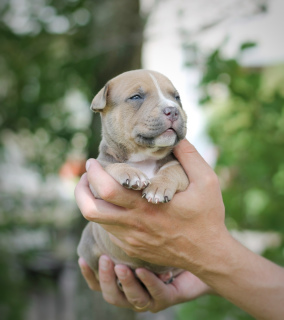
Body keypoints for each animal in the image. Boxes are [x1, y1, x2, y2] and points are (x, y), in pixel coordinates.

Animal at [76, 70, 190, 284]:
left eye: (176, 97)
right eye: (136, 97)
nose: (173, 110)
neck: (144, 156)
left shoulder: (182, 170)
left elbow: (171, 170)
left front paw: (158, 188)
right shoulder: (97, 172)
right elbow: (113, 167)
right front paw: (132, 174)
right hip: (88, 243)